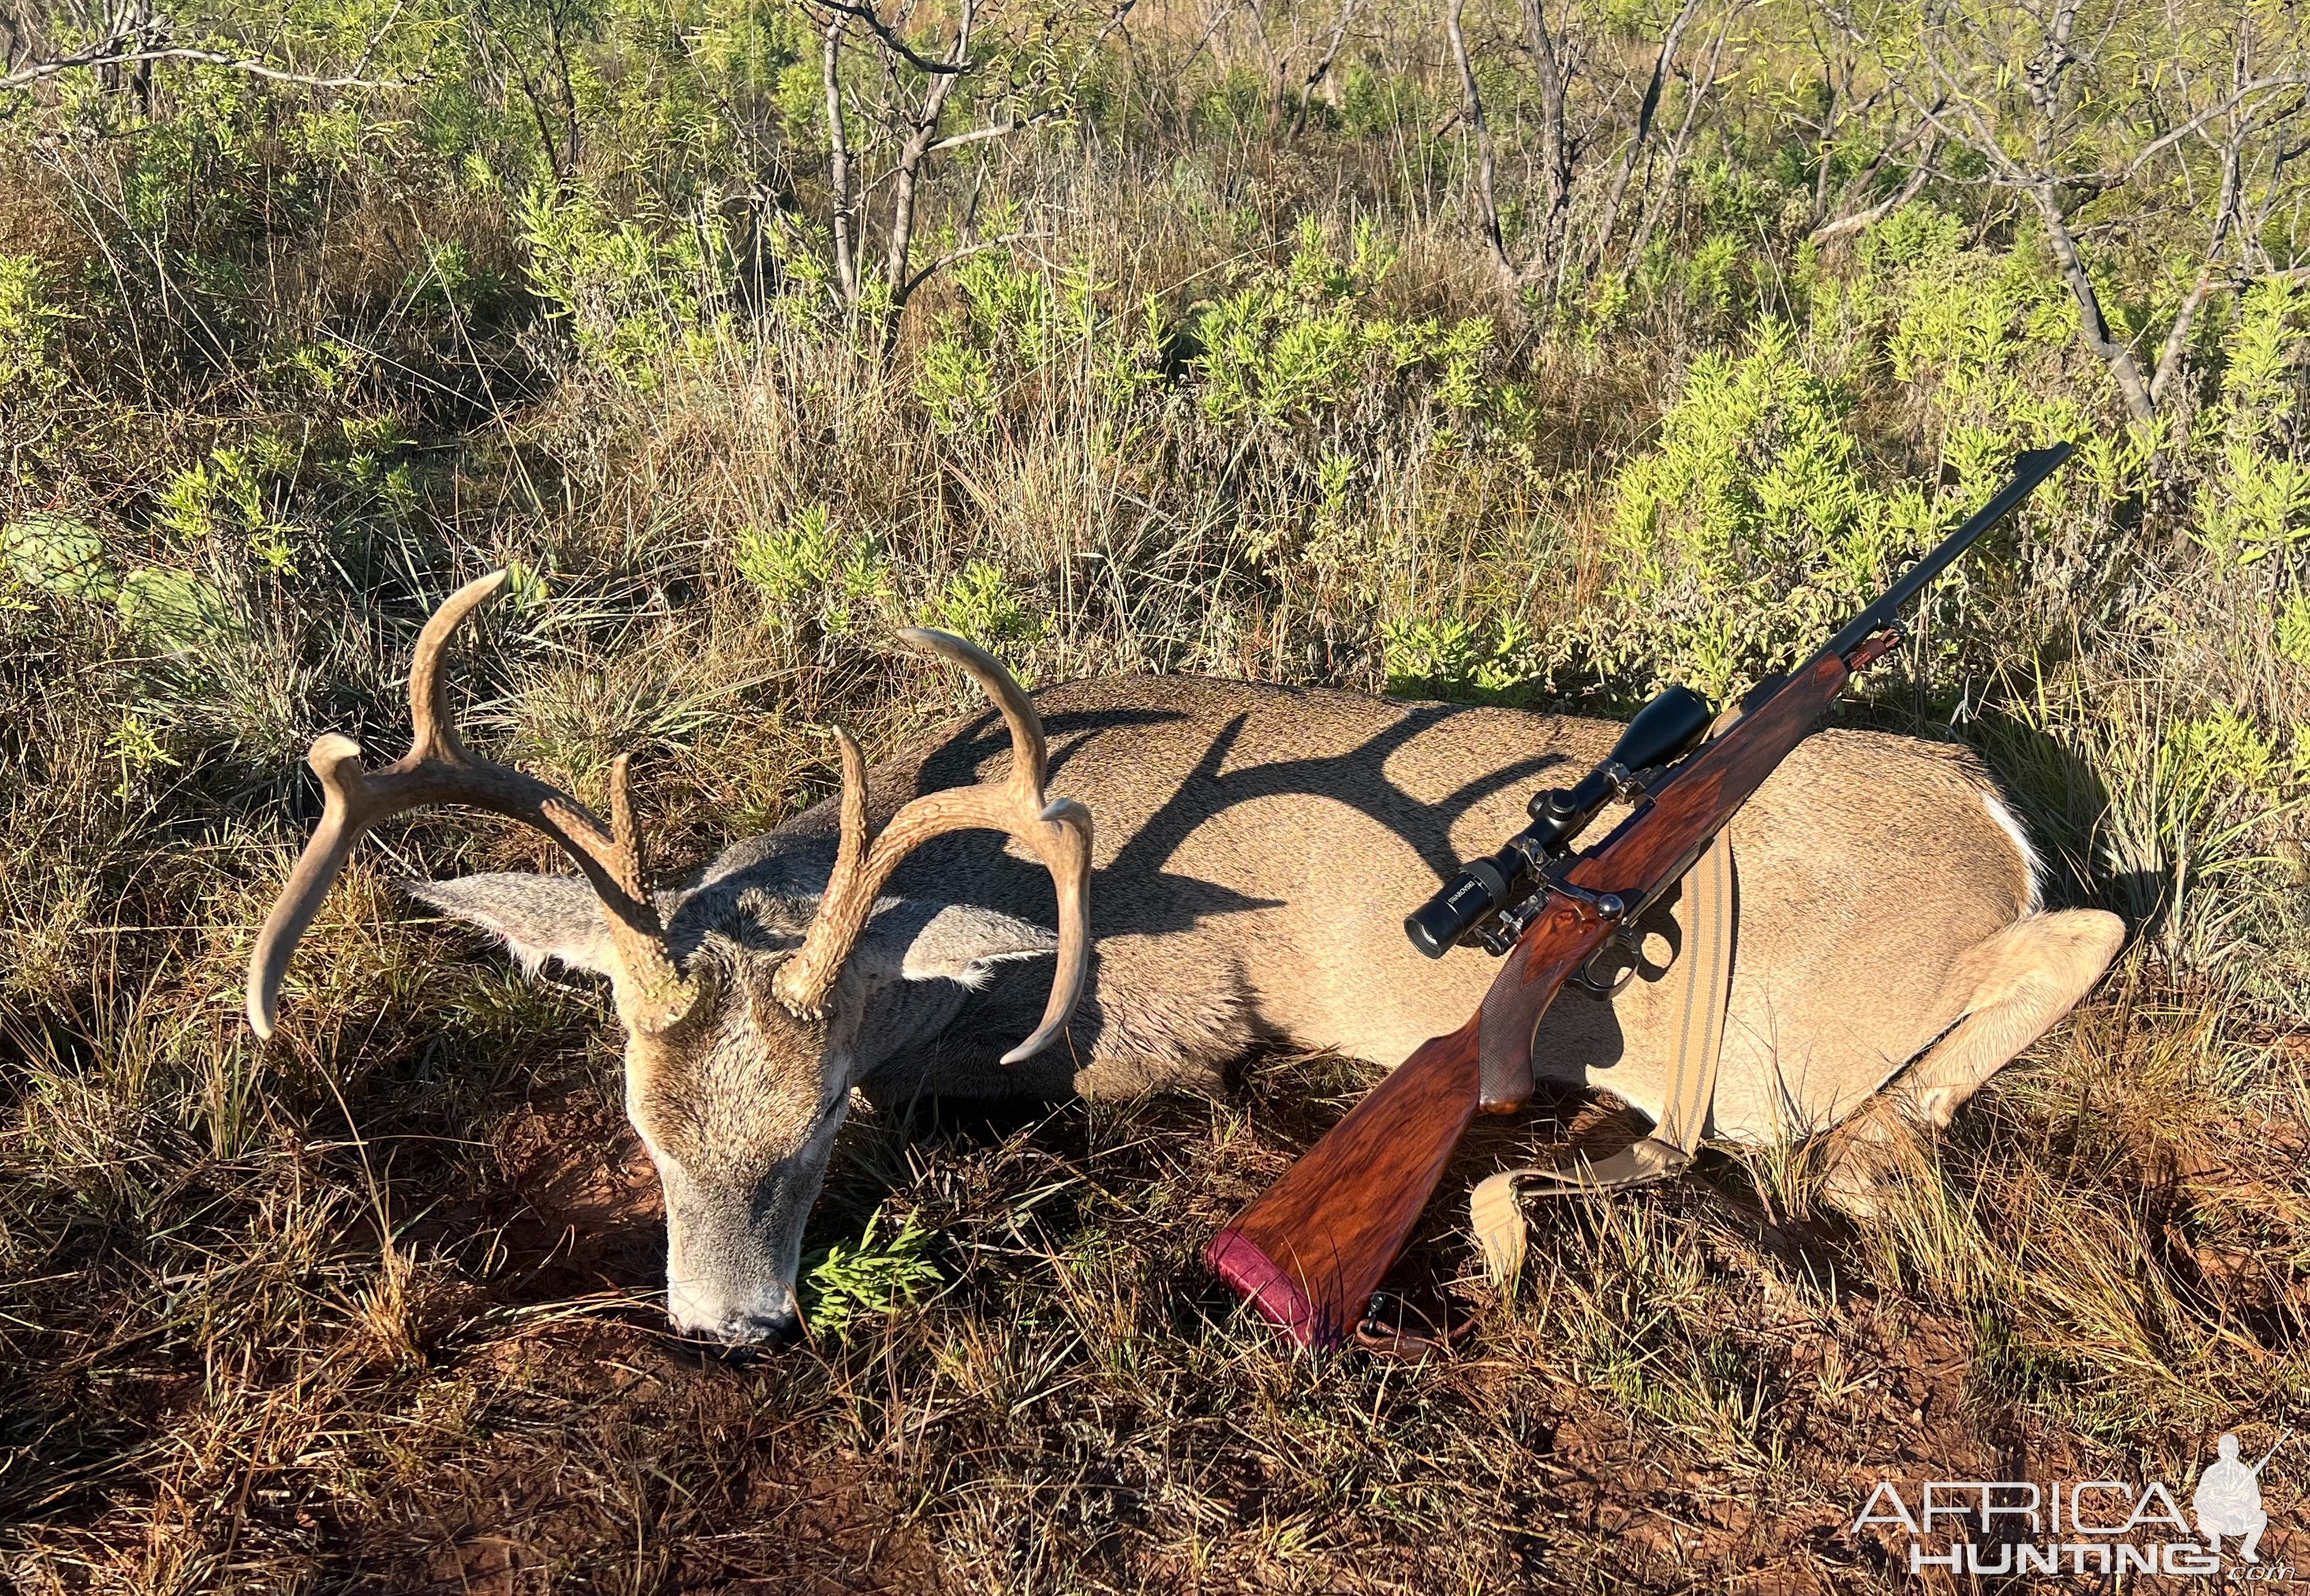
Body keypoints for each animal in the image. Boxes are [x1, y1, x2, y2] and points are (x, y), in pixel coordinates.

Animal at [243, 575, 2115, 1348]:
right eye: (640, 1127)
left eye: (819, 1119)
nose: (724, 1325)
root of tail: (1989, 810)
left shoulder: (1170, 1021)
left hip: (1797, 1030)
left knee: (2061, 944)